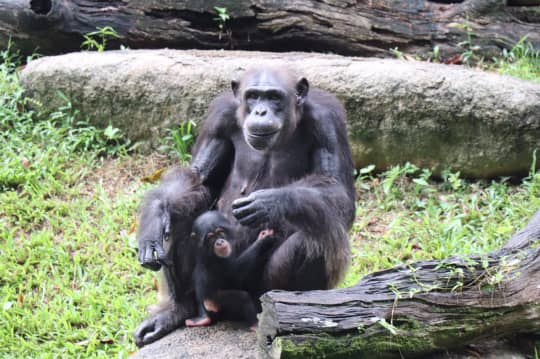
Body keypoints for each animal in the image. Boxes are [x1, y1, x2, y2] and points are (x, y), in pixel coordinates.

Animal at [133, 66, 356, 348]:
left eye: (274, 97)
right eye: (252, 96)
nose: (260, 111)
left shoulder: (327, 122)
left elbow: (337, 190)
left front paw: (271, 202)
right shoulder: (220, 117)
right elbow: (200, 178)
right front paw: (154, 217)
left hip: (260, 287)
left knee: (316, 232)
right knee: (182, 215)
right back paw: (178, 310)